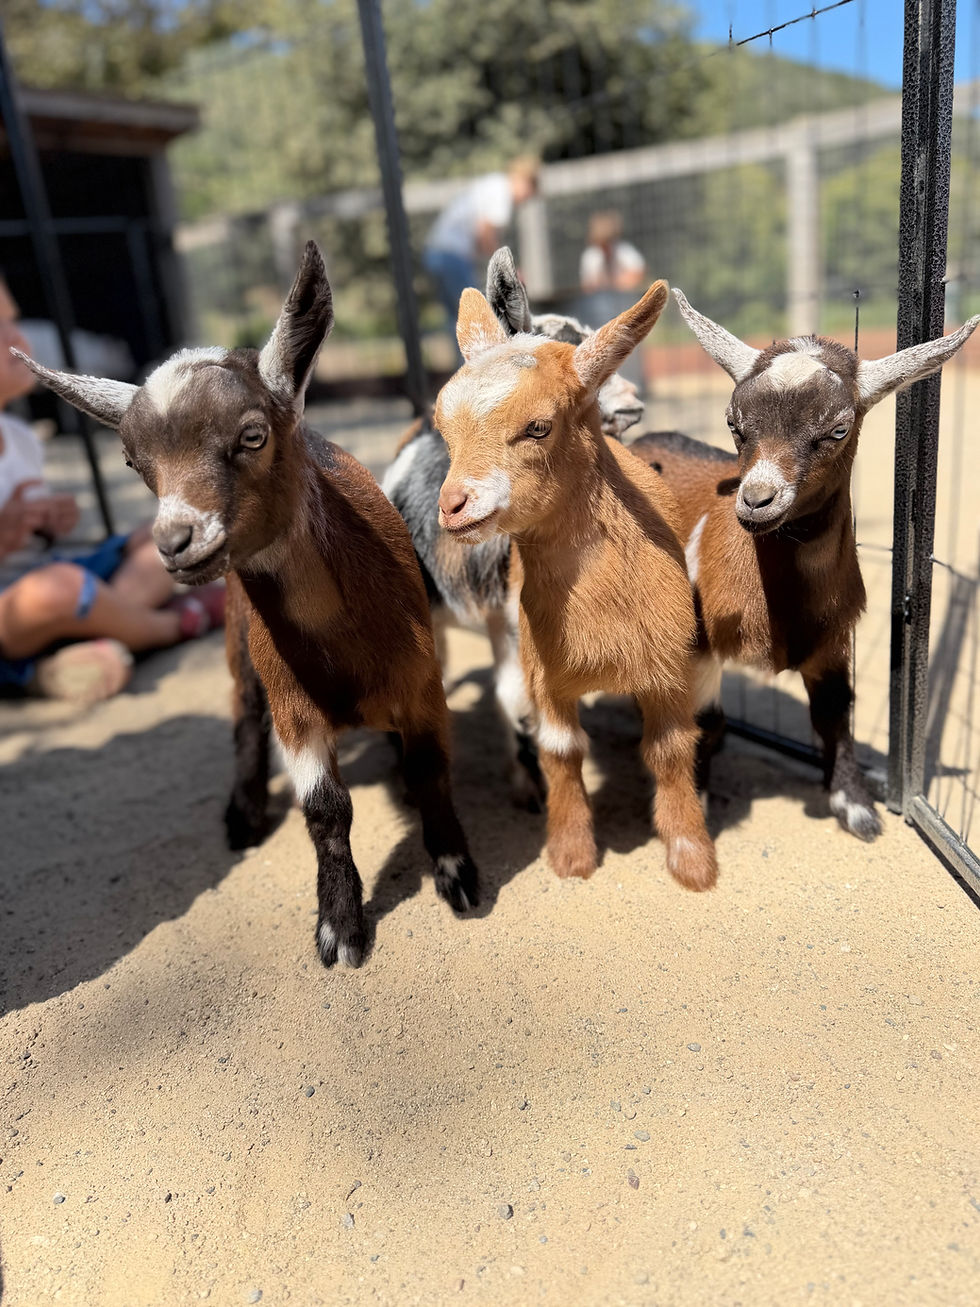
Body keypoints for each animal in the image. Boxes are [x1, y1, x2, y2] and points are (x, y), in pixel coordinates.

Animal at [13, 241, 480, 968]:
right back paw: (244, 811)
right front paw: (339, 928)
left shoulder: (423, 682)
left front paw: (457, 872)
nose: (176, 541)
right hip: (238, 644)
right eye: (133, 463)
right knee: (242, 717)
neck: (342, 646)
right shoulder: (293, 706)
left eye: (253, 435)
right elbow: (325, 810)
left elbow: (432, 770)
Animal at [433, 281, 718, 890]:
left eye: (539, 426)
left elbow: (670, 750)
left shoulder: (668, 670)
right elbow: (560, 752)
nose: (454, 506)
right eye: (443, 429)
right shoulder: (546, 678)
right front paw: (570, 853)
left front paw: (691, 858)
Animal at [630, 290, 980, 840]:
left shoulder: (833, 640)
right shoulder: (699, 643)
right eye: (734, 424)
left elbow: (834, 714)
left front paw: (855, 806)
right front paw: (695, 807)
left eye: (838, 428)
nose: (756, 500)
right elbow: (703, 720)